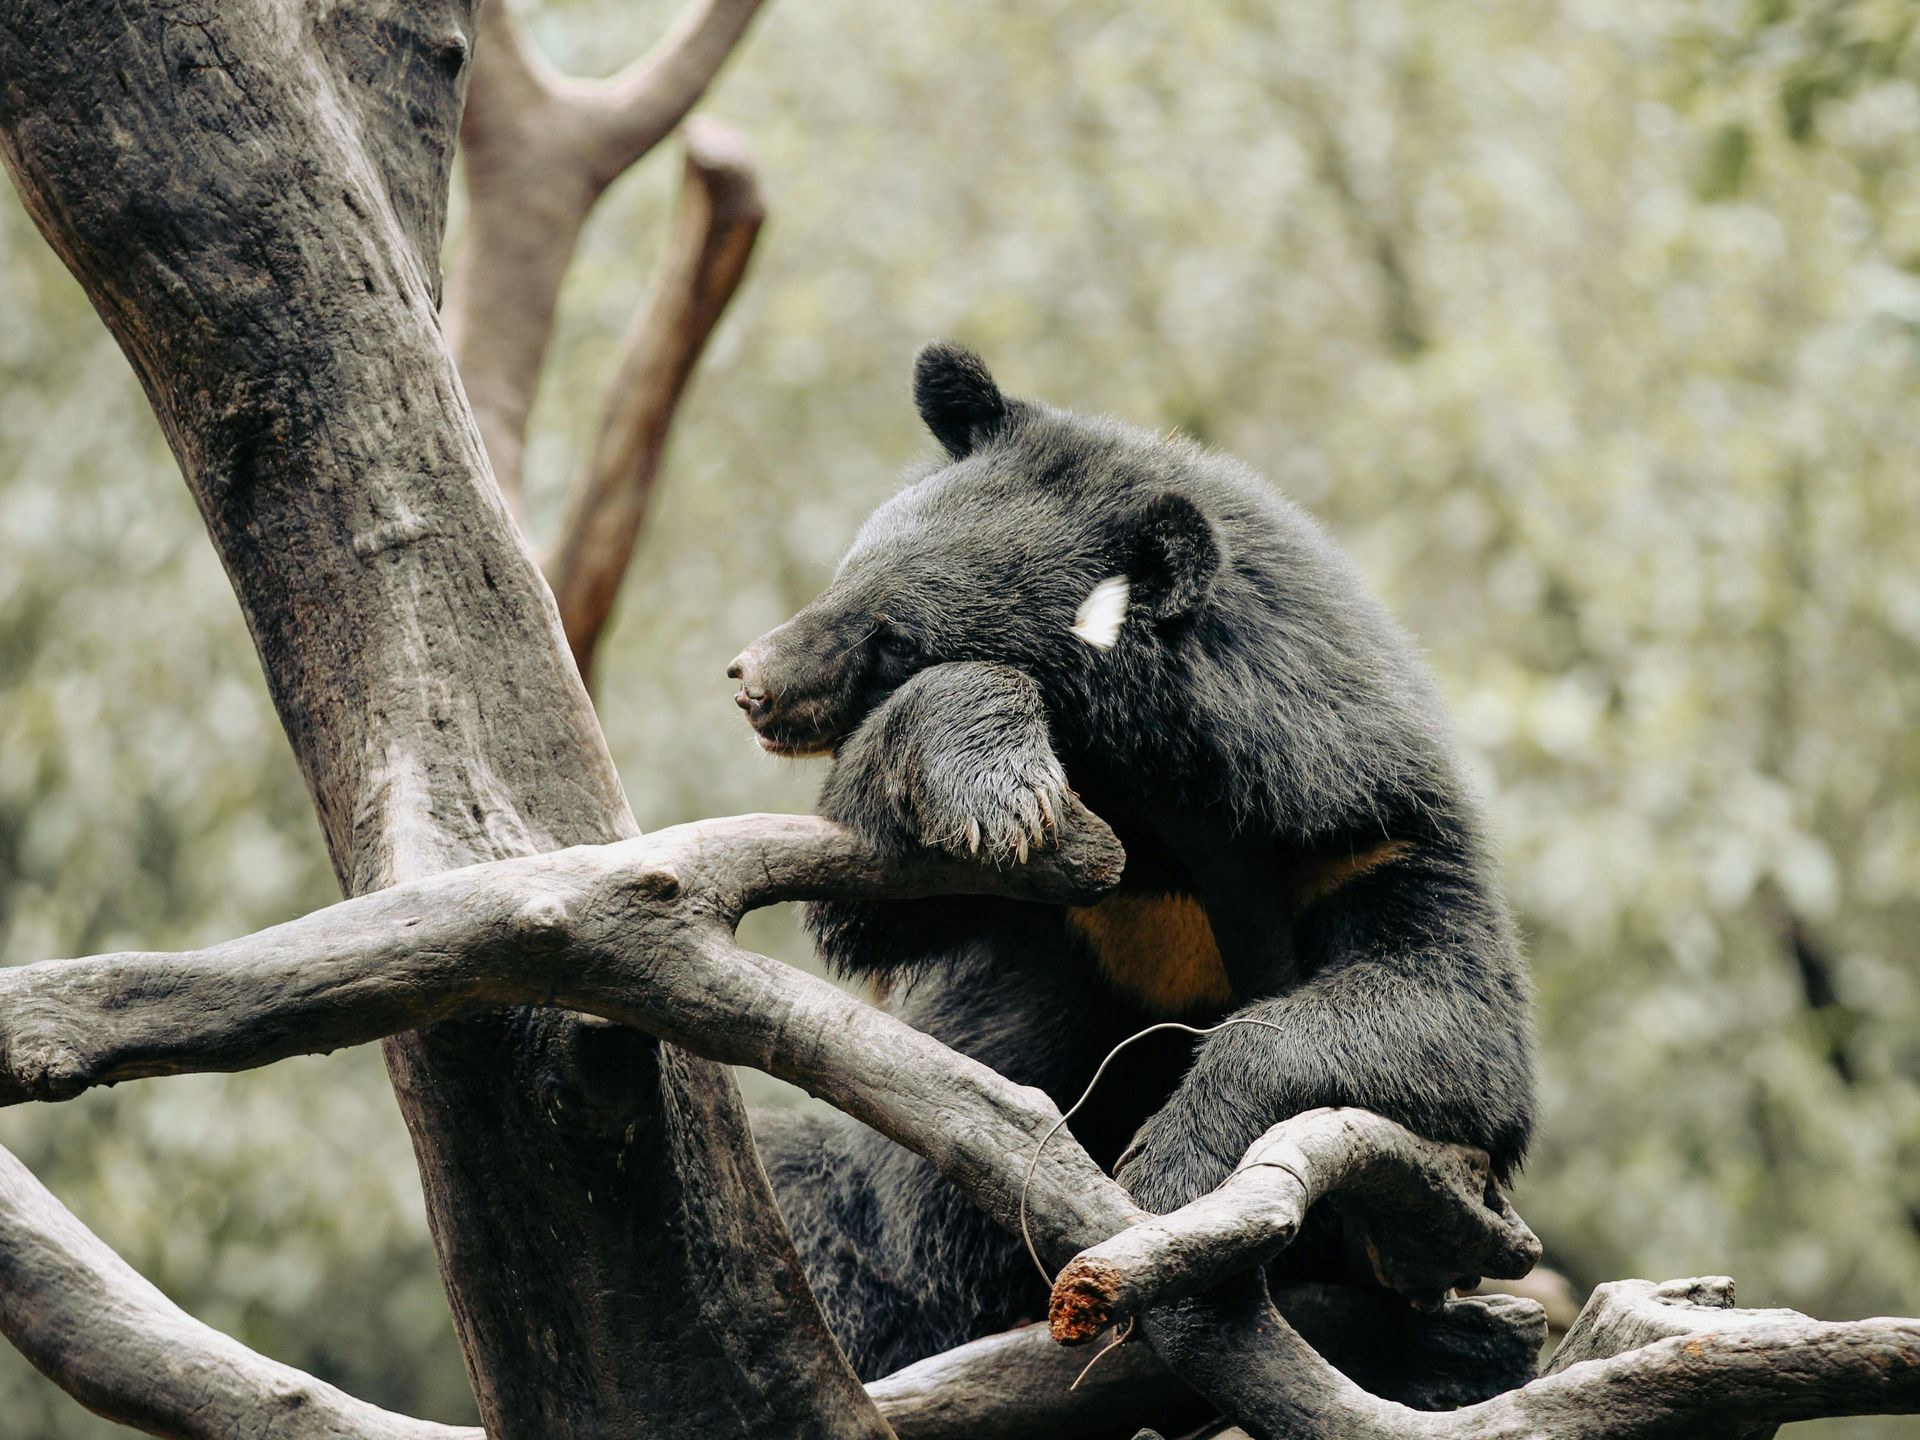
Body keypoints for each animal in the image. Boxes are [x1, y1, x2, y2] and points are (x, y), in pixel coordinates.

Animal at [733, 343, 1536, 1383]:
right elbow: (876, 893)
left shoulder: (1363, 826)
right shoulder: (1066, 886)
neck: (1152, 795)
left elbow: (1455, 1018)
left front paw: (1169, 1169)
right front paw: (1002, 789)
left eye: (893, 638)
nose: (752, 683)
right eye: (847, 575)